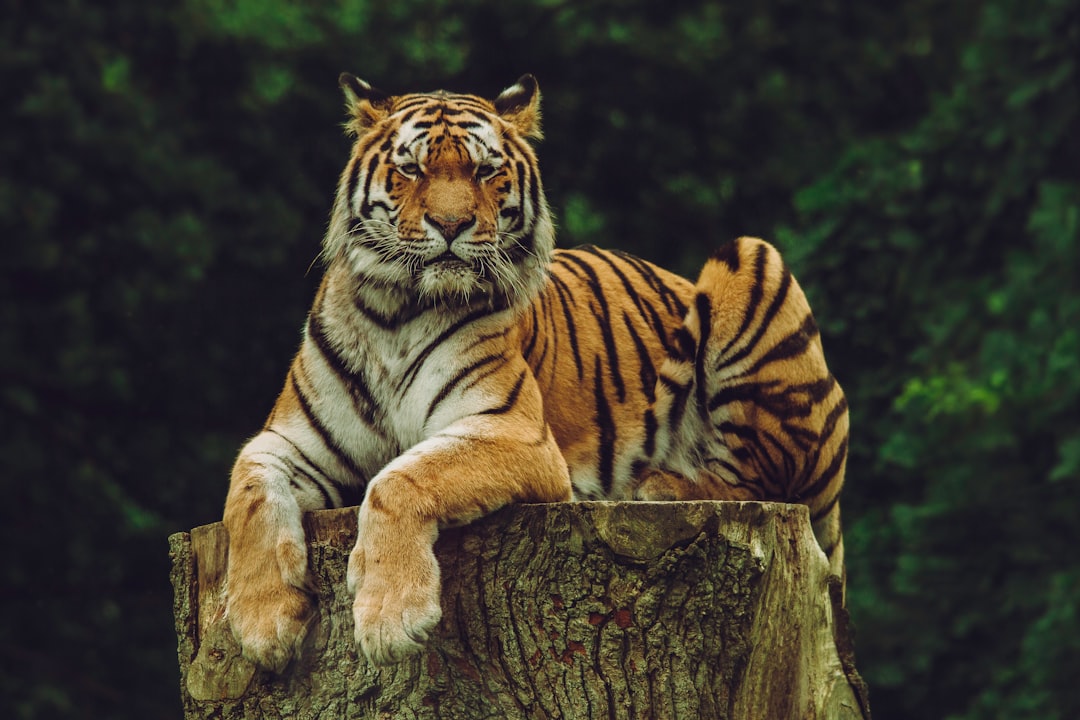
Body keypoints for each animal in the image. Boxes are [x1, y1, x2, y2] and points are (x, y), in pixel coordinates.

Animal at [221, 73, 842, 669]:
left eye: (485, 170)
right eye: (411, 168)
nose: (451, 223)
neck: (395, 313)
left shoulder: (513, 432)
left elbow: (399, 478)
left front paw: (390, 620)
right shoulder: (291, 440)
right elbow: (246, 494)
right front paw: (263, 624)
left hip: (752, 259)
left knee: (763, 479)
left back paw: (660, 485)